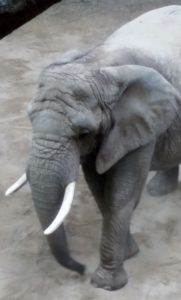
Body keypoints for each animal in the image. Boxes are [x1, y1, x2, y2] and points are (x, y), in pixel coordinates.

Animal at [6, 5, 181, 290]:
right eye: (29, 117)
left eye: (82, 133)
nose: (80, 268)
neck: (96, 63)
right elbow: (99, 188)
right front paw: (128, 255)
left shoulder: (137, 125)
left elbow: (121, 194)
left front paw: (105, 283)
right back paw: (159, 191)